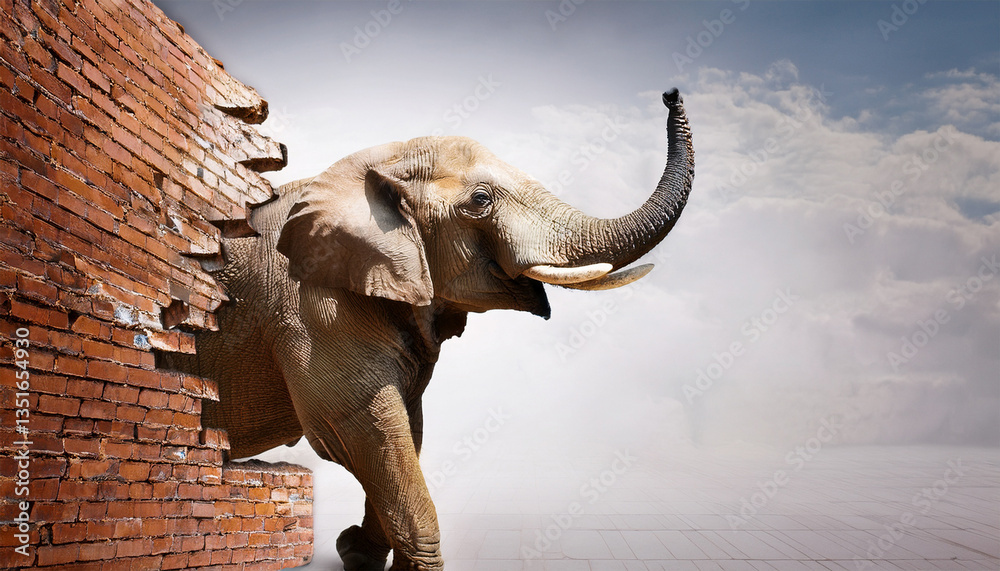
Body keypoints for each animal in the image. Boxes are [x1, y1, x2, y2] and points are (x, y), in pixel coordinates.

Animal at [164, 89, 693, 570]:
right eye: (479, 201)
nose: (670, 93)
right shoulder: (312, 308)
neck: (376, 163)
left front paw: (357, 553)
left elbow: (406, 427)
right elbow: (360, 427)